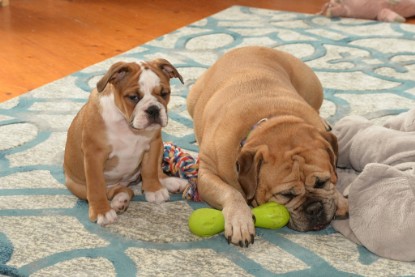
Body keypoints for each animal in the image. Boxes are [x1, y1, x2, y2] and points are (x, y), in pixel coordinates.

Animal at [64, 58, 188, 224]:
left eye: (164, 93)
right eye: (133, 97)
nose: (153, 109)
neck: (127, 125)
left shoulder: (153, 144)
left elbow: (150, 169)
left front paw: (154, 189)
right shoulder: (94, 156)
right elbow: (96, 186)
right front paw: (101, 212)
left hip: (161, 146)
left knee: (153, 172)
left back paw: (169, 182)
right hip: (77, 186)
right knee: (113, 190)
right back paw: (119, 200)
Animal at [187, 45, 350, 246]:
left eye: (322, 182)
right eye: (286, 195)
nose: (314, 208)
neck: (271, 119)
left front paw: (339, 198)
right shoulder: (207, 174)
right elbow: (232, 193)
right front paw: (240, 221)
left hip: (312, 86)